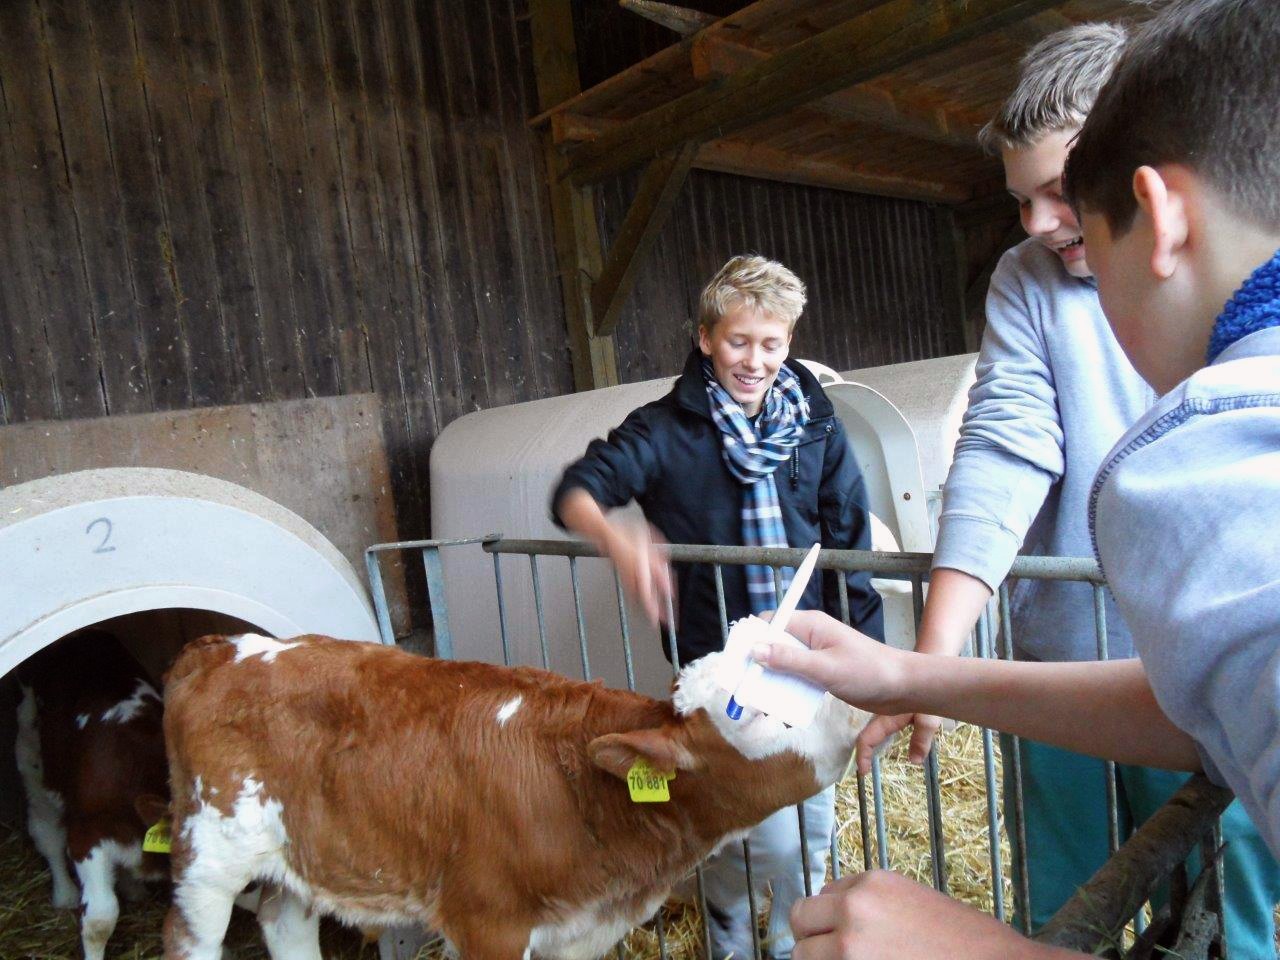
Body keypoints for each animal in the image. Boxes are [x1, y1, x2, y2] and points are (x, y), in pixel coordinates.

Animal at [154, 634, 865, 957]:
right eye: (753, 712)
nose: (856, 702)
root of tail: (218, 647)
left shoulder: (575, 933)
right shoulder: (486, 919)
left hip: (298, 855)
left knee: (285, 920)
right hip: (208, 855)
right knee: (189, 934)